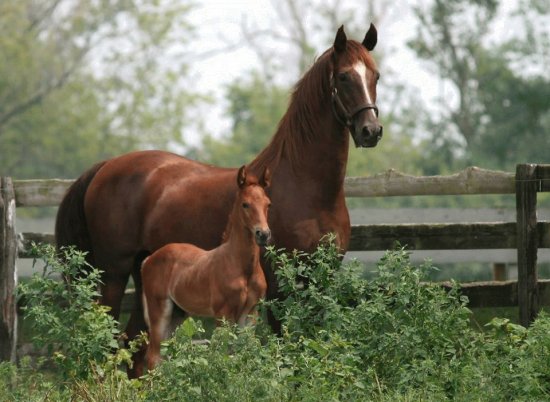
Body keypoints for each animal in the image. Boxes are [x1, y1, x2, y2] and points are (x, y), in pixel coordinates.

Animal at [141, 165, 272, 370]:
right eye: (245, 204)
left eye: (268, 204)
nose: (263, 234)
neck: (242, 268)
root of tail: (149, 259)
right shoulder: (223, 314)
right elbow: (225, 354)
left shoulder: (250, 314)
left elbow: (244, 354)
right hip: (159, 311)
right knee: (153, 358)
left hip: (178, 315)